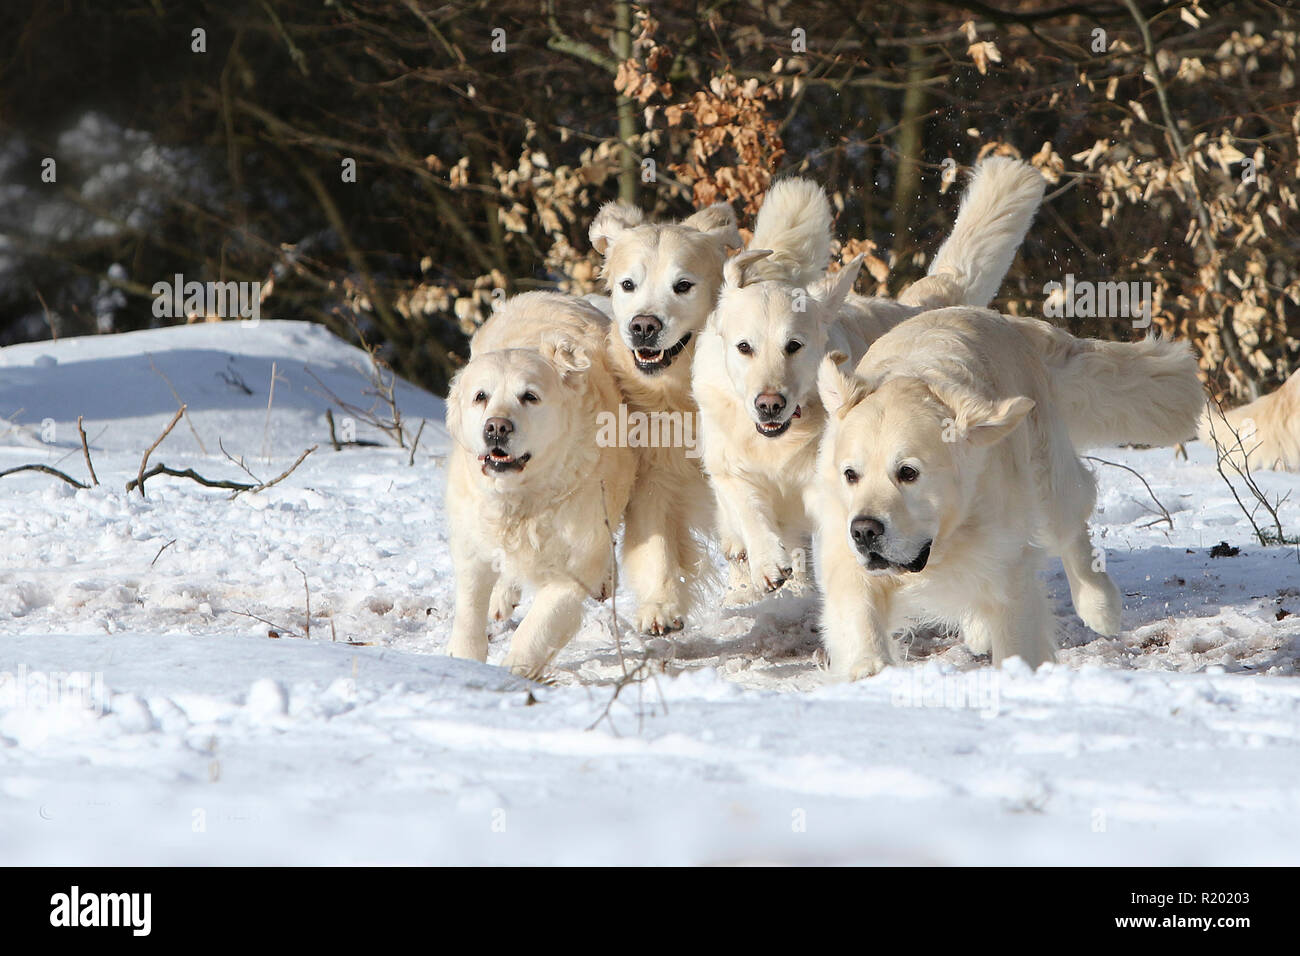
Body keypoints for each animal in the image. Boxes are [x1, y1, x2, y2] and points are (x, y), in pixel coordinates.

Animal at [441, 291, 634, 681]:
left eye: (529, 396)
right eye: (480, 396)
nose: (496, 427)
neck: (523, 496)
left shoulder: (574, 566)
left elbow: (538, 627)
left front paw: (512, 672)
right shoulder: (471, 541)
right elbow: (469, 608)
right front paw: (465, 661)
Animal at [691, 159, 1045, 600]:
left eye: (794, 345)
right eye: (744, 347)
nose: (769, 404)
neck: (778, 441)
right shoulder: (729, 464)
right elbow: (748, 507)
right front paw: (768, 563)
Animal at [816, 306, 1201, 681]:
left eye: (908, 473)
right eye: (850, 474)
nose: (864, 531)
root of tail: (1009, 321)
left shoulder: (1007, 559)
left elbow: (1015, 628)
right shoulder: (843, 541)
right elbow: (858, 607)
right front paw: (868, 668)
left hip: (1049, 477)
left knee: (1071, 526)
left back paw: (1100, 605)